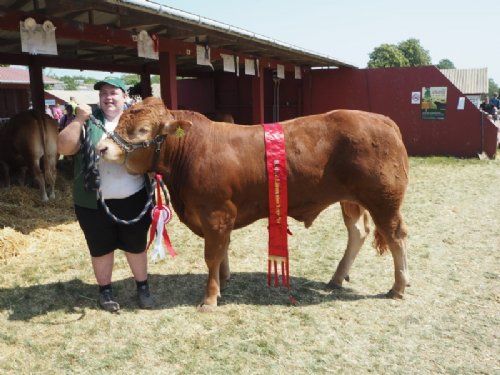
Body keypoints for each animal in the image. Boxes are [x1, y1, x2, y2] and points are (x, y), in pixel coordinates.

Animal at [96, 97, 410, 312]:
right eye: (121, 120)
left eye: (142, 130)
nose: (101, 148)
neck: (193, 150)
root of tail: (382, 119)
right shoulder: (220, 217)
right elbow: (222, 250)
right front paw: (223, 281)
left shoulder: (216, 213)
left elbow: (212, 254)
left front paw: (210, 298)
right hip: (351, 200)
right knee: (357, 232)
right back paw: (337, 278)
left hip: (383, 200)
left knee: (396, 238)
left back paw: (398, 287)